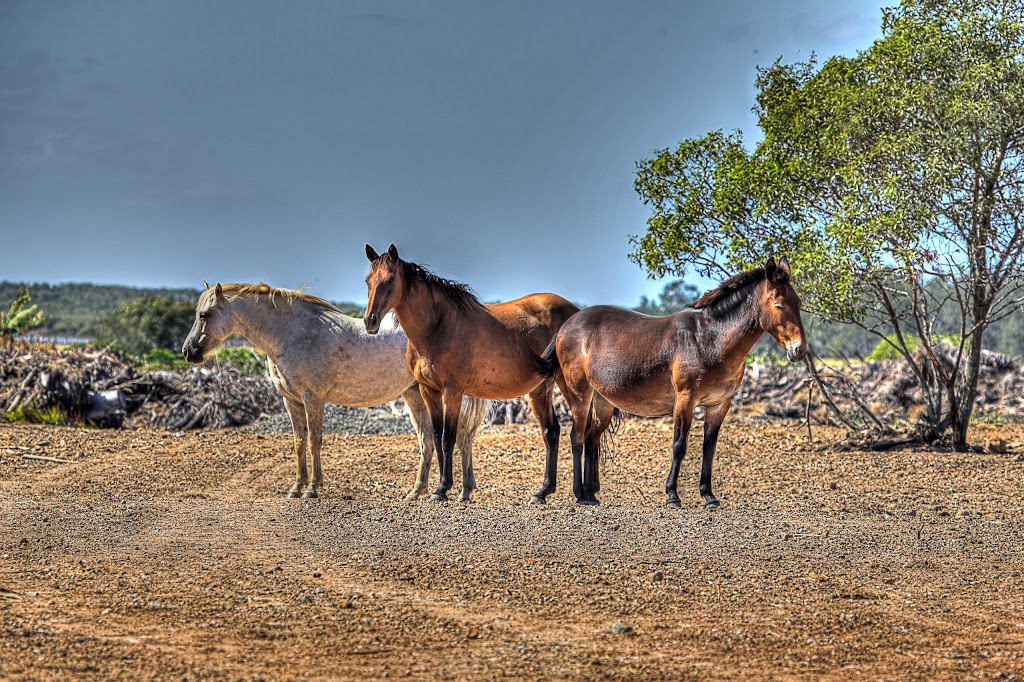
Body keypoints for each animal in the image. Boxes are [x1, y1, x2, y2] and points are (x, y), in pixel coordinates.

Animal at [180, 280, 487, 499]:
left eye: (204, 314)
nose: (188, 351)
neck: (290, 334)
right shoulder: (291, 402)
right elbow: (299, 442)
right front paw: (296, 487)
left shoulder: (313, 399)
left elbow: (314, 441)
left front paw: (312, 488)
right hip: (414, 394)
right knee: (429, 440)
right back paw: (420, 491)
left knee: (454, 438)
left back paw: (456, 491)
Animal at [364, 242, 581, 499]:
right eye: (368, 280)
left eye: (390, 279)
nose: (370, 321)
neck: (438, 326)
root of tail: (577, 312)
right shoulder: (429, 391)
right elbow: (436, 435)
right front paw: (441, 488)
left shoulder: (452, 392)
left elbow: (448, 437)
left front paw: (442, 488)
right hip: (541, 389)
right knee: (551, 431)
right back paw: (542, 492)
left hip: (568, 384)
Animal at [536, 258, 806, 507]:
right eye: (778, 304)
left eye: (798, 303)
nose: (800, 350)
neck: (708, 339)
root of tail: (566, 326)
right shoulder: (685, 401)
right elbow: (679, 446)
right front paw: (672, 495)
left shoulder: (719, 405)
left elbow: (709, 448)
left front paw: (708, 496)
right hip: (580, 395)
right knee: (577, 437)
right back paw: (578, 494)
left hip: (603, 402)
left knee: (592, 439)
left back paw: (591, 494)